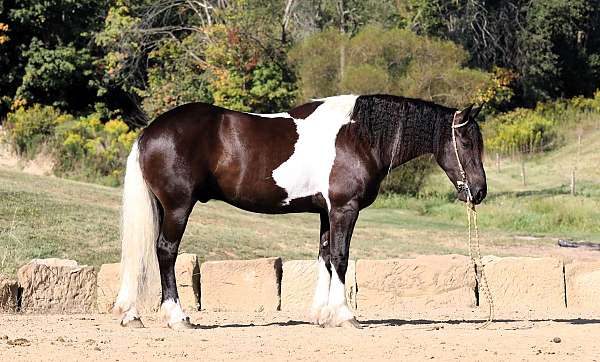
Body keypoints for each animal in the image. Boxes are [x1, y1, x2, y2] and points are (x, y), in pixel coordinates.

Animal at [113, 92, 488, 328]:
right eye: (467, 142)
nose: (480, 191)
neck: (358, 136)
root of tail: (148, 133)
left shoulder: (326, 212)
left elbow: (324, 256)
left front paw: (322, 315)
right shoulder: (344, 209)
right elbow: (340, 257)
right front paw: (345, 315)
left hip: (162, 207)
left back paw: (133, 315)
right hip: (178, 207)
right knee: (166, 252)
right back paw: (178, 317)